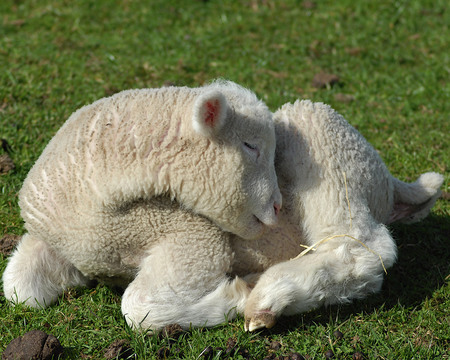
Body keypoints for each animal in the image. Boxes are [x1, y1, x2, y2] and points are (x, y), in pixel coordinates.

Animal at [2, 81, 282, 332]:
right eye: (251, 146)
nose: (278, 206)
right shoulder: (55, 242)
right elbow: (19, 290)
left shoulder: (195, 239)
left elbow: (137, 309)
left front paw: (244, 290)